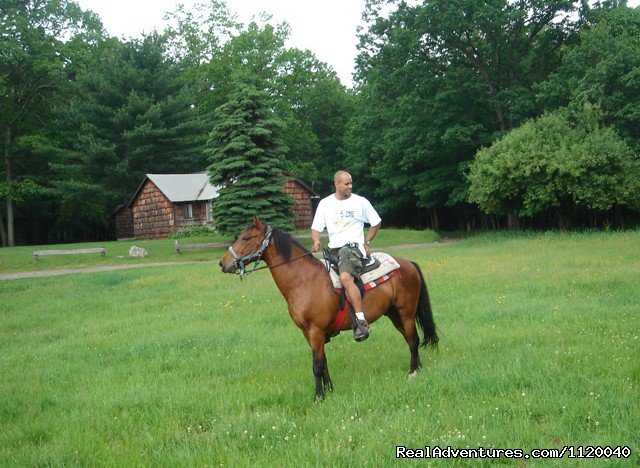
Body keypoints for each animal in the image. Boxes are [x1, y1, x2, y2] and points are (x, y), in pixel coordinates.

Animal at [220, 218, 440, 400]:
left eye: (245, 237)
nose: (223, 263)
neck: (304, 280)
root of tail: (407, 263)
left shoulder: (316, 330)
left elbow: (316, 365)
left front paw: (319, 396)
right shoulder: (307, 333)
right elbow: (323, 361)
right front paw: (330, 389)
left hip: (406, 312)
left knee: (413, 339)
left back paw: (412, 373)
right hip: (394, 314)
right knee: (410, 339)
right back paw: (417, 368)